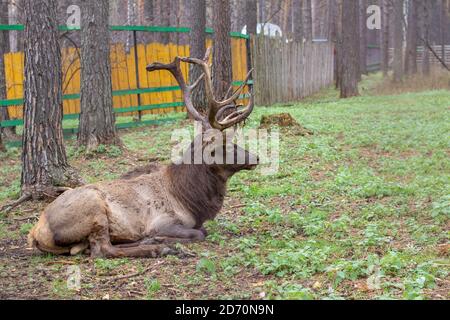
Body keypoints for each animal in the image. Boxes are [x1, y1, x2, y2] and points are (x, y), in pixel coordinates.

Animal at [28, 47, 258, 258]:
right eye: (224, 144)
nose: (255, 157)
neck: (189, 200)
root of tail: (35, 232)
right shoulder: (163, 221)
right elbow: (200, 232)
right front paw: (163, 239)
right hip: (94, 210)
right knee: (102, 250)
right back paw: (159, 247)